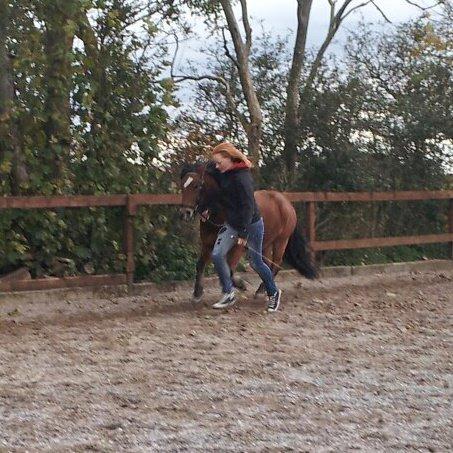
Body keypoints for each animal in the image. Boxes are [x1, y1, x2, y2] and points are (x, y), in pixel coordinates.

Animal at [178, 161, 316, 302]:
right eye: (182, 185)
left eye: (197, 186)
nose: (185, 213)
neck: (222, 213)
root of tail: (286, 203)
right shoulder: (207, 245)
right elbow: (200, 265)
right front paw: (197, 293)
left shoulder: (238, 248)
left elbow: (229, 270)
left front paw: (241, 285)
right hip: (265, 243)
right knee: (264, 264)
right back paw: (262, 289)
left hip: (281, 240)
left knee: (276, 263)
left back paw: (262, 290)